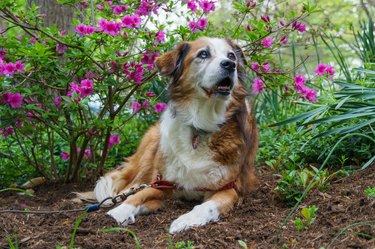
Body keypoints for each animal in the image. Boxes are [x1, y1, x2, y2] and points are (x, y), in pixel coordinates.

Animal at [93, 37, 258, 233]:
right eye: (203, 54)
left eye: (231, 55)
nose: (230, 64)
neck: (200, 126)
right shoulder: (164, 183)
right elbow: (139, 195)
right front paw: (118, 212)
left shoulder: (229, 189)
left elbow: (206, 206)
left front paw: (185, 221)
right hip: (152, 146)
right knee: (134, 182)